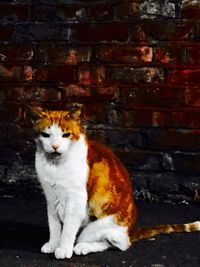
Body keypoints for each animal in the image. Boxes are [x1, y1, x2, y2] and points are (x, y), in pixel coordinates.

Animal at [30, 106, 200, 260]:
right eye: (46, 135)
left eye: (66, 135)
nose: (55, 146)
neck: (55, 166)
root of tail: (131, 230)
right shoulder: (51, 196)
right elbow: (54, 225)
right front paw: (53, 244)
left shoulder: (76, 199)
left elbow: (68, 229)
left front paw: (64, 249)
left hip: (100, 227)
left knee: (116, 244)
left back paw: (82, 247)